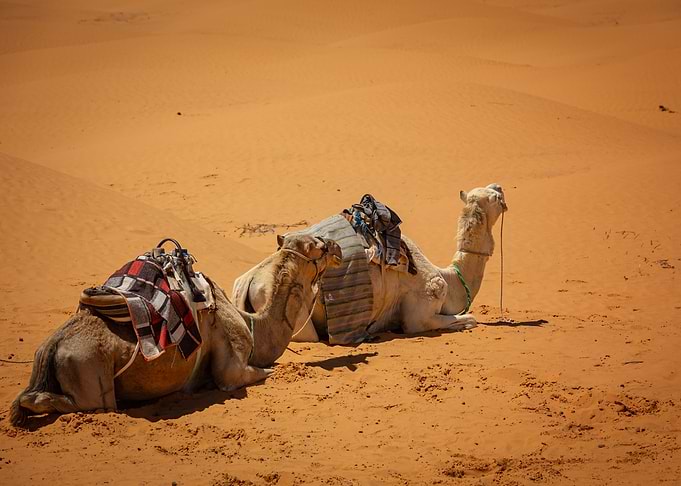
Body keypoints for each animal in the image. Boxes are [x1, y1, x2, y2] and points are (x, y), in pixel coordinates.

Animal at [9, 234, 342, 427]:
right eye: (320, 245)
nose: (338, 247)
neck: (251, 322)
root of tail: (52, 344)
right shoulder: (233, 369)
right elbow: (258, 373)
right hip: (87, 371)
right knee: (65, 402)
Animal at [233, 184, 507, 342]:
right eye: (495, 196)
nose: (500, 185)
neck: (451, 280)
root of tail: (249, 281)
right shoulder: (419, 315)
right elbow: (469, 319)